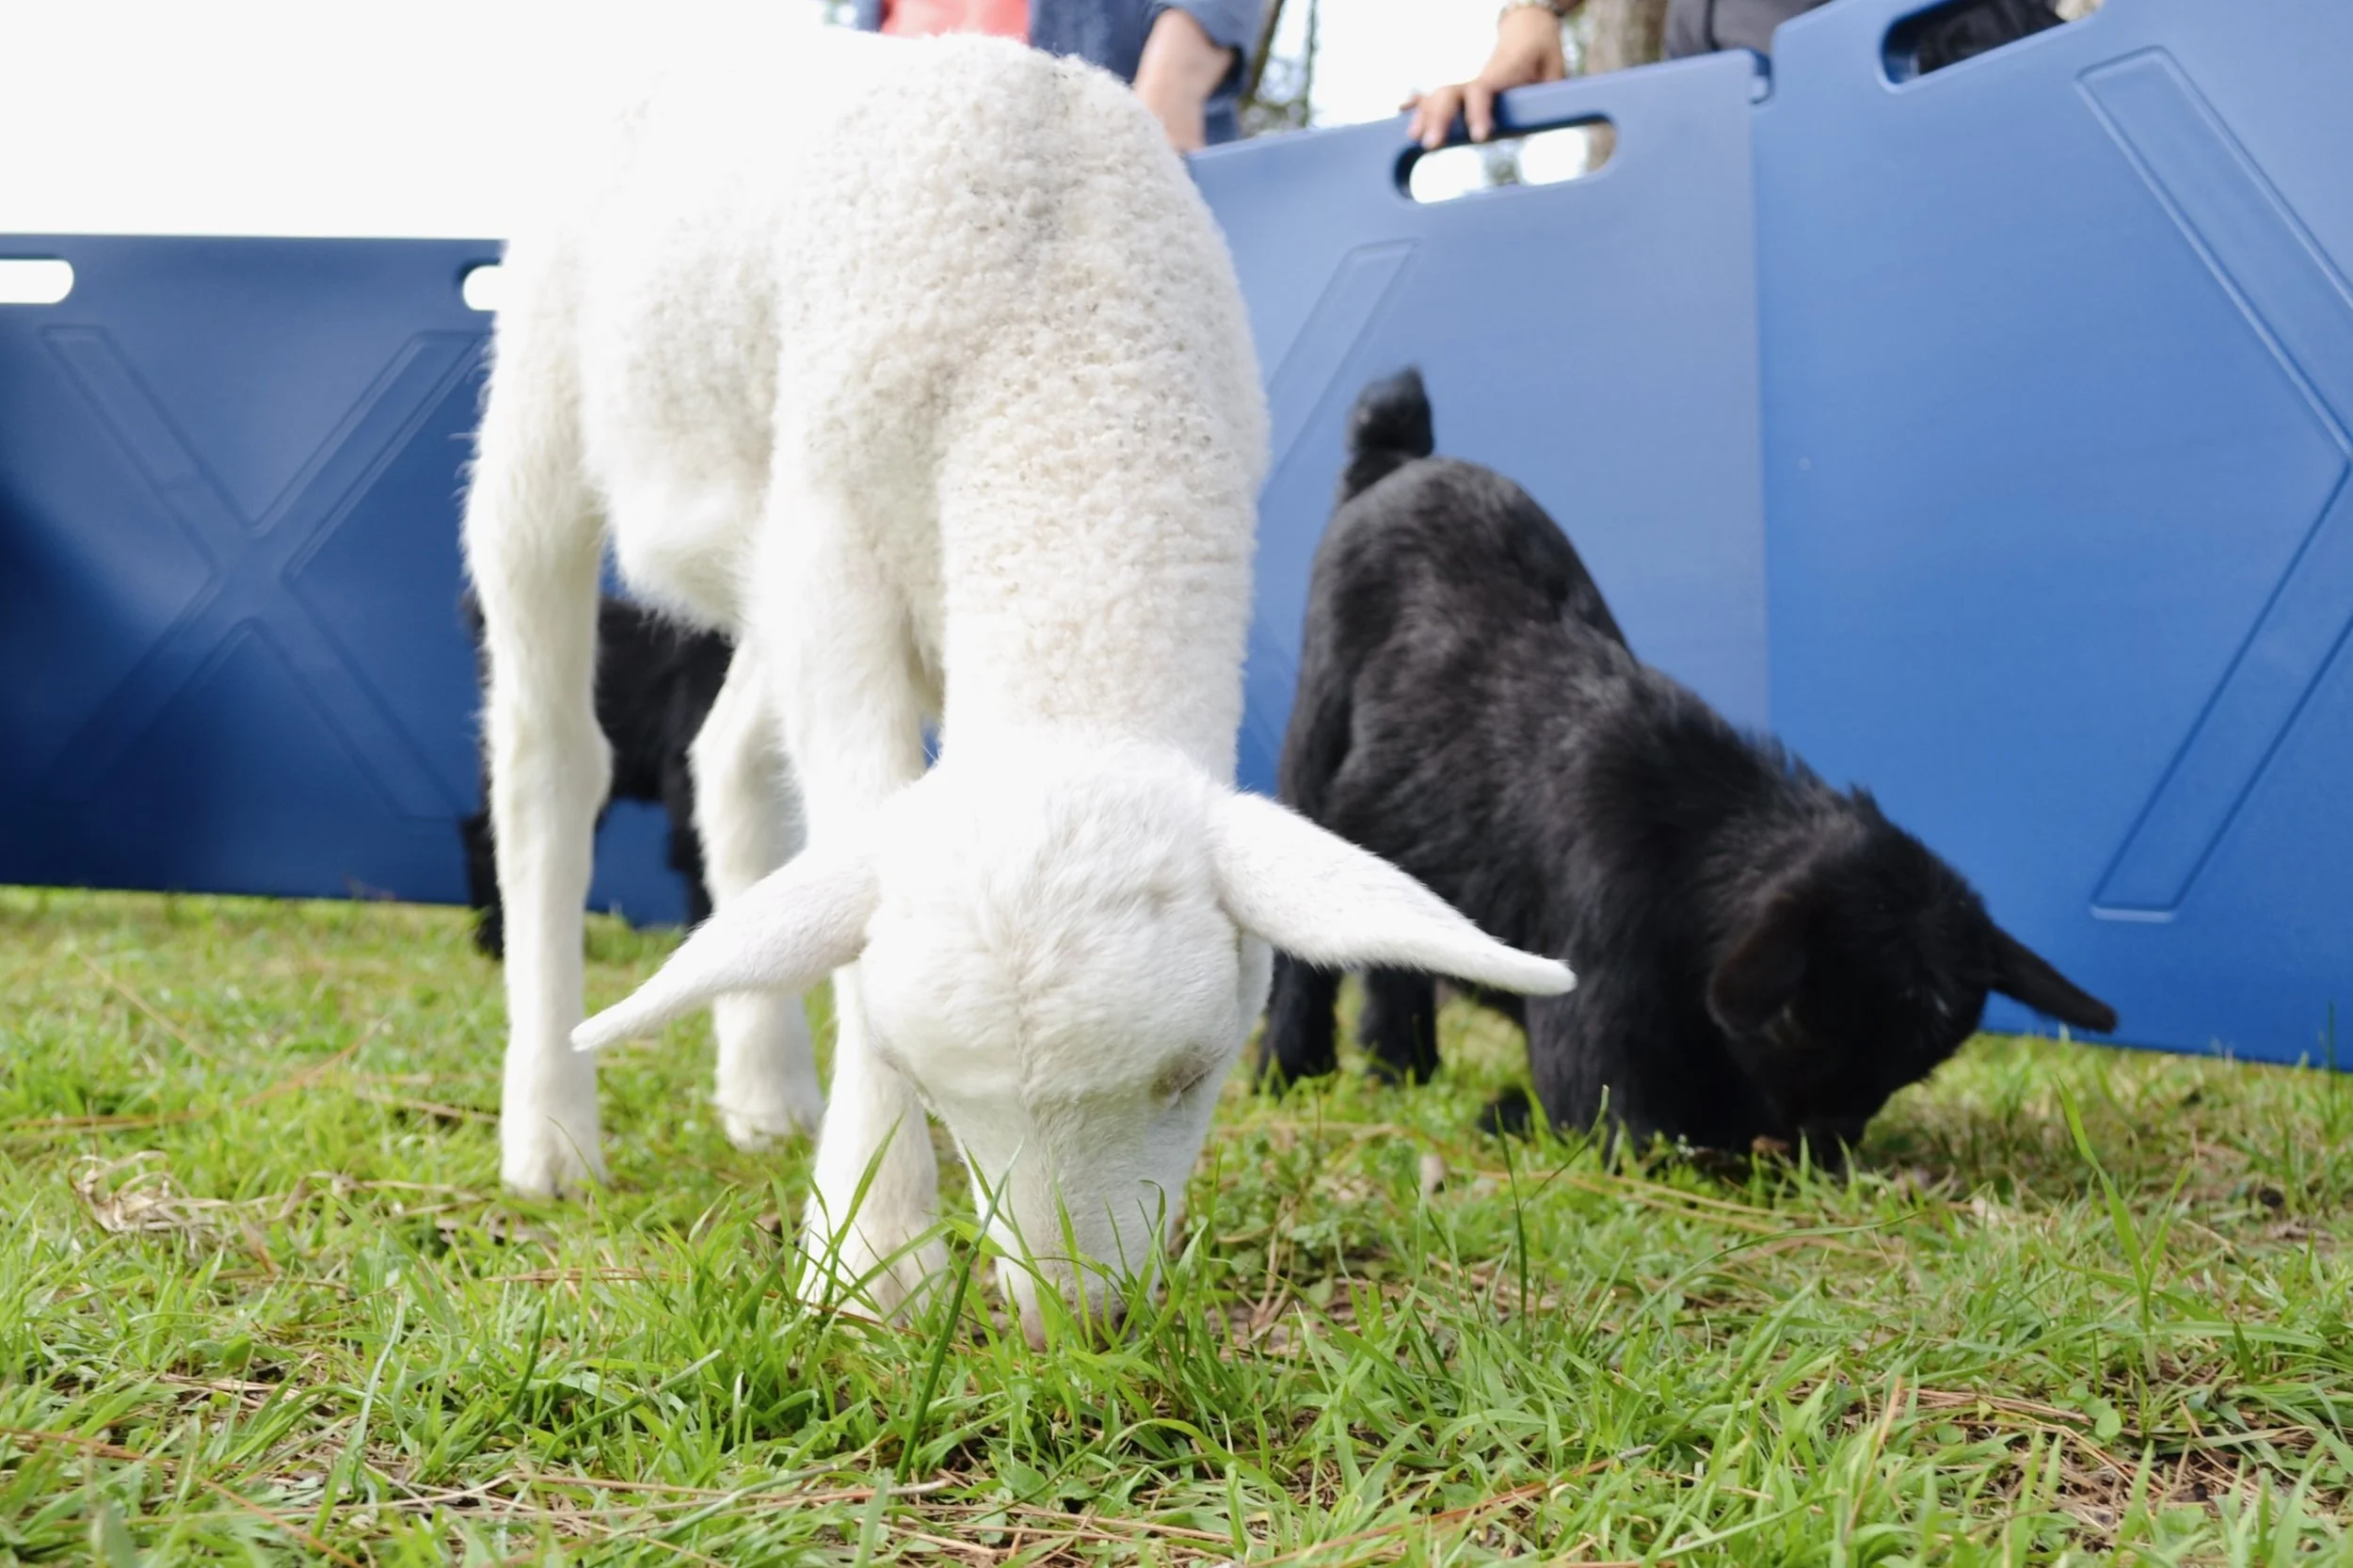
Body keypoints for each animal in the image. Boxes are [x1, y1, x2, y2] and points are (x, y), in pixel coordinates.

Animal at [1260, 369, 2115, 1159]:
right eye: (1799, 1031)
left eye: (1907, 1075)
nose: (1826, 1147)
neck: (1694, 843)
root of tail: (1400, 458)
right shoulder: (1595, 1001)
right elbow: (1642, 1133)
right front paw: (1505, 1113)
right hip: (1314, 728)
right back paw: (1290, 1070)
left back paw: (1399, 1070)